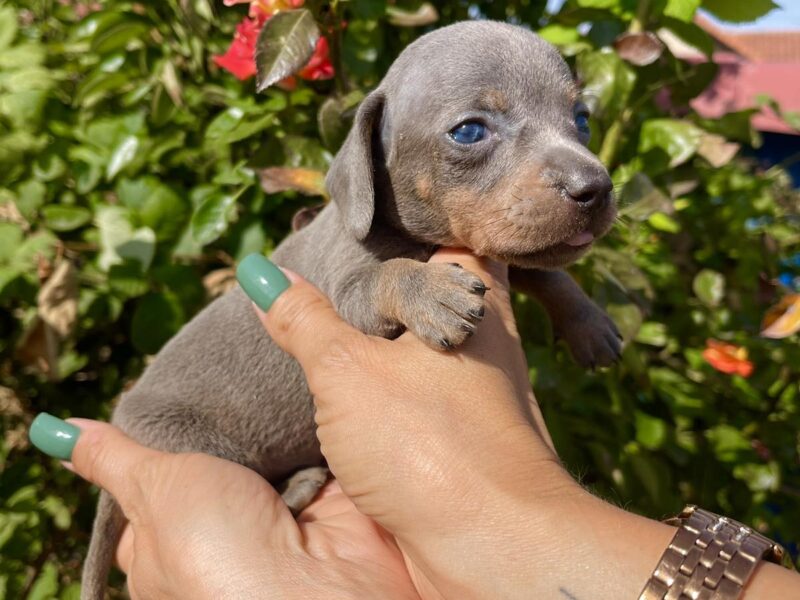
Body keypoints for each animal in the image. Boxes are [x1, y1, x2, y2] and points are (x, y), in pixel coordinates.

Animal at [81, 21, 620, 596]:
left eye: (582, 119)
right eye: (470, 131)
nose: (595, 187)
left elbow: (547, 270)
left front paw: (590, 326)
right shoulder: (346, 288)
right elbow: (385, 277)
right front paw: (433, 293)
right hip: (197, 445)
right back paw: (297, 485)